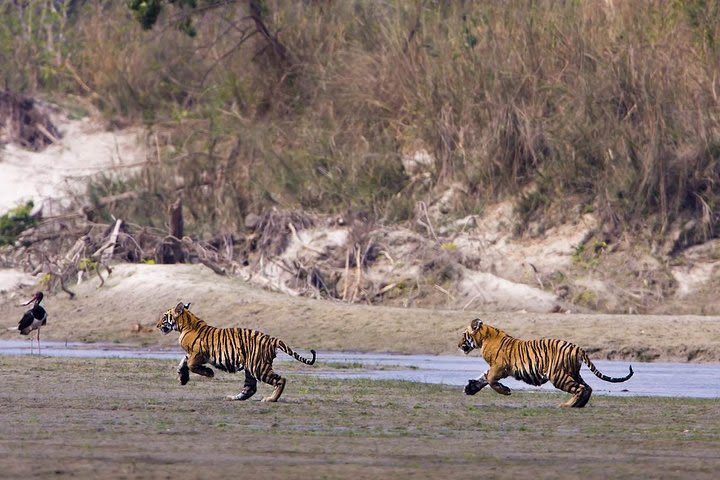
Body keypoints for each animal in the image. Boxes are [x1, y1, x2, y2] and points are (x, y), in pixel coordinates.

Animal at [158, 304, 316, 402]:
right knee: (250, 388)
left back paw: (271, 399)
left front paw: (209, 373)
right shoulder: (192, 354)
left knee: (280, 380)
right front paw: (183, 378)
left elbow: (190, 364)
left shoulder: (198, 353)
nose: (158, 325)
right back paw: (233, 398)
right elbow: (183, 362)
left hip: (258, 367)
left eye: (164, 317)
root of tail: (272, 339)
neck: (185, 325)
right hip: (251, 368)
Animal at [458, 316, 632, 406]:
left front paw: (505, 391)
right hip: (572, 372)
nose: (458, 345)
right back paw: (578, 405)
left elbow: (490, 380)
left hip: (558, 375)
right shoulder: (495, 367)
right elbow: (484, 377)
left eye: (463, 335)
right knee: (587, 387)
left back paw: (567, 405)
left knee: (580, 388)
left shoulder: (500, 367)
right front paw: (470, 388)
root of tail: (577, 347)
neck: (484, 338)